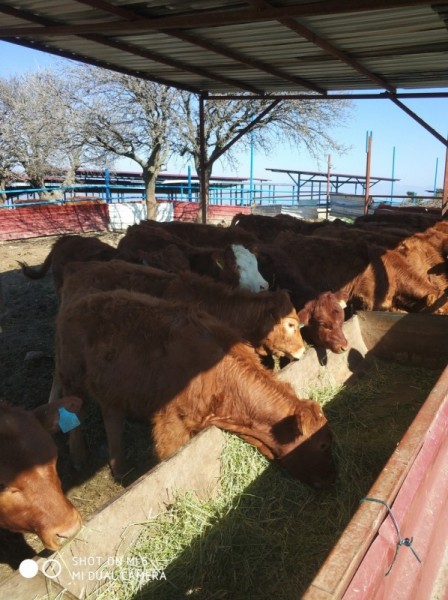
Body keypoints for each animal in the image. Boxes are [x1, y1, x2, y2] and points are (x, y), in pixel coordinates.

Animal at [54, 289, 336, 488]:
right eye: (323, 445)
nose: (332, 480)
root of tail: (80, 301)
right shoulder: (171, 426)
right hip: (71, 376)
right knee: (73, 411)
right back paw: (78, 455)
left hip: (111, 387)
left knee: (111, 416)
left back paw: (120, 467)